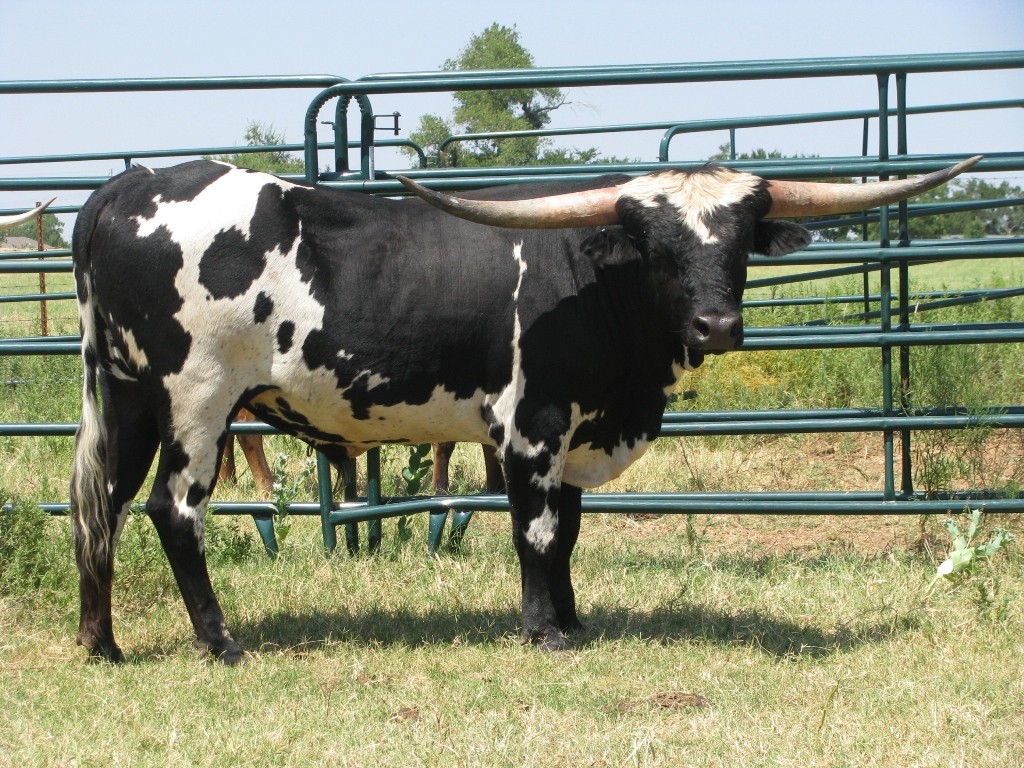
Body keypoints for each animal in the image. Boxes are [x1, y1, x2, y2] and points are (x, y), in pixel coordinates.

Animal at [69, 155, 979, 663]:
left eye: (740, 242)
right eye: (658, 247)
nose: (718, 326)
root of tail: (130, 184)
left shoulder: (576, 434)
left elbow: (569, 532)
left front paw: (574, 619)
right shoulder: (532, 428)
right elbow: (537, 534)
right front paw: (544, 632)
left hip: (128, 398)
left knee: (100, 509)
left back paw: (101, 642)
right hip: (197, 402)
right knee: (172, 511)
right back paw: (219, 641)